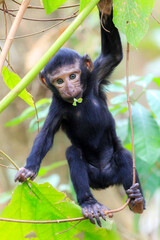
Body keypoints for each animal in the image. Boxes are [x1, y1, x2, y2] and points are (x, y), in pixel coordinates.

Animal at [15, 1, 145, 227]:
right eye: (59, 80)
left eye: (73, 76)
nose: (69, 87)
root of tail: (103, 181)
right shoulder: (57, 107)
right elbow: (46, 136)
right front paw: (29, 169)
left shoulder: (96, 76)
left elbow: (113, 55)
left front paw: (105, 7)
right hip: (90, 176)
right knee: (73, 153)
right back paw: (90, 204)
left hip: (115, 170)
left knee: (124, 155)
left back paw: (136, 200)